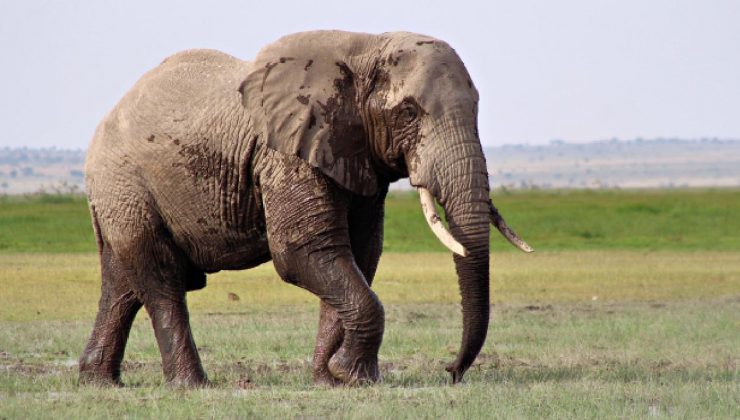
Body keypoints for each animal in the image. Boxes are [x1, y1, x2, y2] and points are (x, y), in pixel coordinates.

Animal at [79, 30, 532, 388]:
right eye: (408, 112)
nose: (450, 371)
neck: (365, 49)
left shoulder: (354, 152)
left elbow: (359, 254)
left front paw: (333, 380)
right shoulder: (285, 152)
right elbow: (305, 252)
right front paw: (350, 375)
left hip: (122, 193)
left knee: (123, 283)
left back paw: (99, 383)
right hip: (126, 183)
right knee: (161, 277)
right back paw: (191, 386)